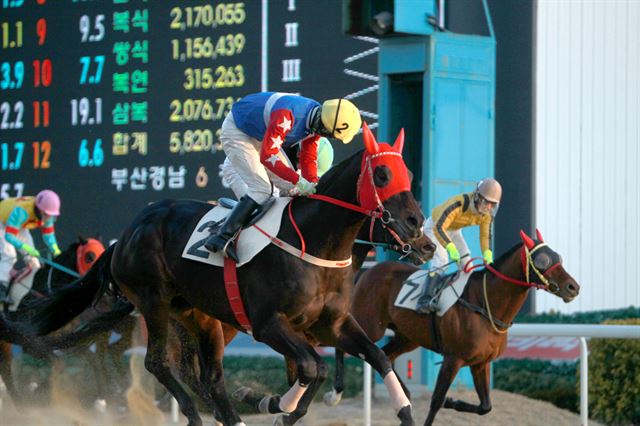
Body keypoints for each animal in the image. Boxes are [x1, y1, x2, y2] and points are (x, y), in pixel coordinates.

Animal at [15, 123, 424, 426]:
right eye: (382, 174)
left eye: (408, 173)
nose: (419, 229)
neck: (314, 243)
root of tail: (127, 233)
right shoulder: (268, 324)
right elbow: (313, 367)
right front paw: (275, 405)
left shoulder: (331, 325)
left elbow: (376, 358)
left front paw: (405, 410)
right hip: (153, 300)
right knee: (158, 363)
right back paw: (197, 414)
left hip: (198, 315)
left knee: (209, 378)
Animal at [324, 230, 580, 426]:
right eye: (542, 260)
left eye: (558, 256)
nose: (573, 287)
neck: (485, 304)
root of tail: (369, 271)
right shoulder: (453, 358)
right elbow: (436, 400)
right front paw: (442, 402)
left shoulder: (480, 363)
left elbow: (485, 406)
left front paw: (452, 402)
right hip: (370, 324)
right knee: (345, 345)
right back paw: (335, 393)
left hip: (408, 337)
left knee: (385, 355)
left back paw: (404, 393)